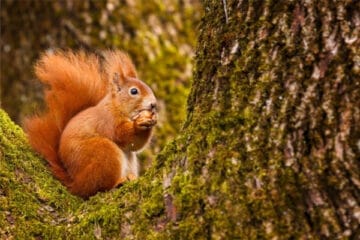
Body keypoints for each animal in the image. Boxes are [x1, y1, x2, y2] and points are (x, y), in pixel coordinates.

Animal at [23, 50, 156, 199]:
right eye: (133, 91)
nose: (153, 104)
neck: (117, 107)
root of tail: (75, 183)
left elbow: (135, 145)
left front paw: (151, 120)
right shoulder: (108, 121)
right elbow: (121, 134)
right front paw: (138, 124)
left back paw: (130, 177)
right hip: (103, 153)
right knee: (97, 188)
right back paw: (118, 182)